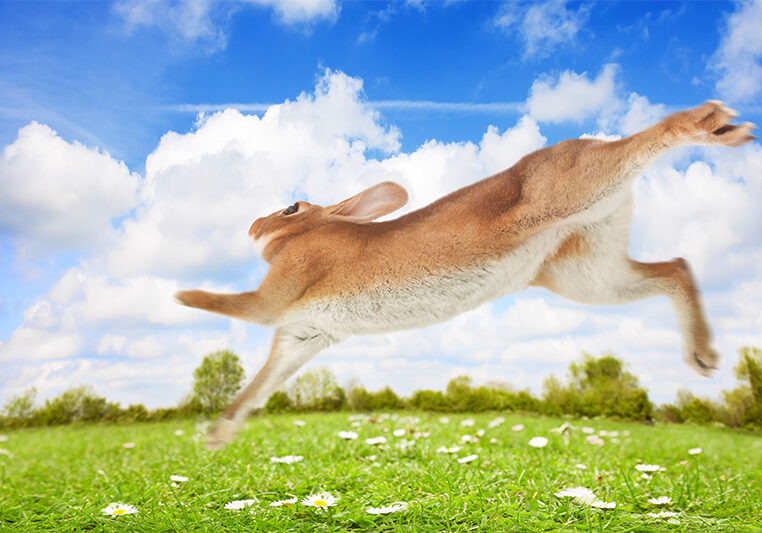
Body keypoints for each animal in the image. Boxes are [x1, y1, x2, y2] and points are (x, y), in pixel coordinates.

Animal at [176, 101, 755, 450]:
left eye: (292, 207)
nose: (253, 226)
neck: (311, 234)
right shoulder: (304, 335)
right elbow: (259, 384)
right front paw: (219, 435)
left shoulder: (277, 296)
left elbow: (235, 304)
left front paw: (180, 294)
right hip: (587, 273)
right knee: (675, 266)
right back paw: (704, 356)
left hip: (575, 188)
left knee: (653, 138)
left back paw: (719, 125)